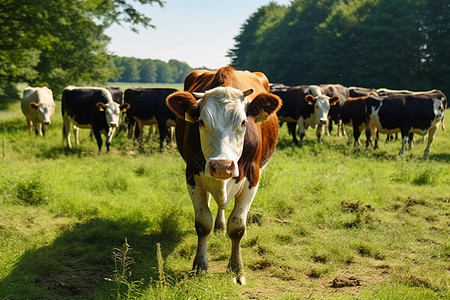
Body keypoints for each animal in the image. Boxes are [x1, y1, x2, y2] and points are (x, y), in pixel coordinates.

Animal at [165, 67, 282, 284]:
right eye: (201, 122)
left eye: (243, 122)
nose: (222, 166)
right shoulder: (192, 176)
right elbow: (203, 224)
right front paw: (199, 266)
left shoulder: (252, 178)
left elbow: (237, 227)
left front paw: (236, 269)